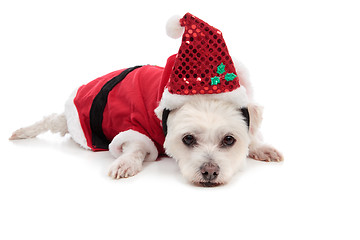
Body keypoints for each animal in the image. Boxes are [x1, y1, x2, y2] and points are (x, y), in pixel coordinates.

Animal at [9, 12, 284, 188]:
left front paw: (261, 147)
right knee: (51, 121)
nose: (209, 172)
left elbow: (253, 135)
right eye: (188, 139)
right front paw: (126, 163)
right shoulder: (135, 126)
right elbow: (136, 147)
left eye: (229, 140)